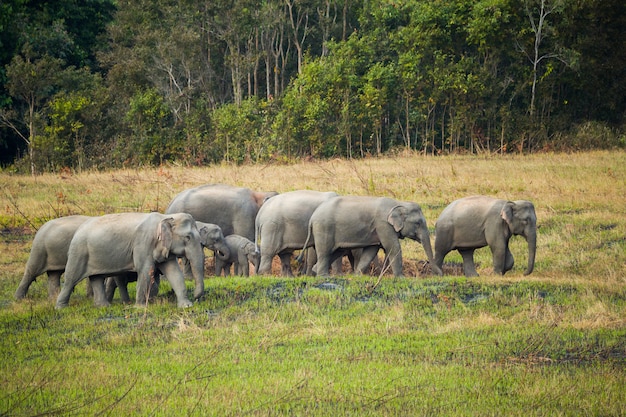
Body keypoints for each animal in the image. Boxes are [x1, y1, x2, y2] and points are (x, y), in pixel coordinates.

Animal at [54, 213, 204, 308]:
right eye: (188, 237)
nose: (197, 298)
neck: (164, 217)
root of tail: (78, 229)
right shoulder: (142, 243)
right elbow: (145, 270)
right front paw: (140, 307)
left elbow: (174, 272)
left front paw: (186, 306)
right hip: (79, 251)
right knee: (71, 279)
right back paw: (60, 307)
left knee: (96, 278)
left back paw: (103, 306)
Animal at [302, 195, 438, 276]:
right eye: (418, 223)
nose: (438, 274)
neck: (399, 203)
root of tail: (312, 217)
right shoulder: (383, 224)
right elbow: (393, 247)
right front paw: (401, 278)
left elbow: (370, 251)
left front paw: (357, 275)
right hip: (324, 228)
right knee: (325, 253)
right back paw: (324, 276)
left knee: (335, 252)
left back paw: (316, 271)